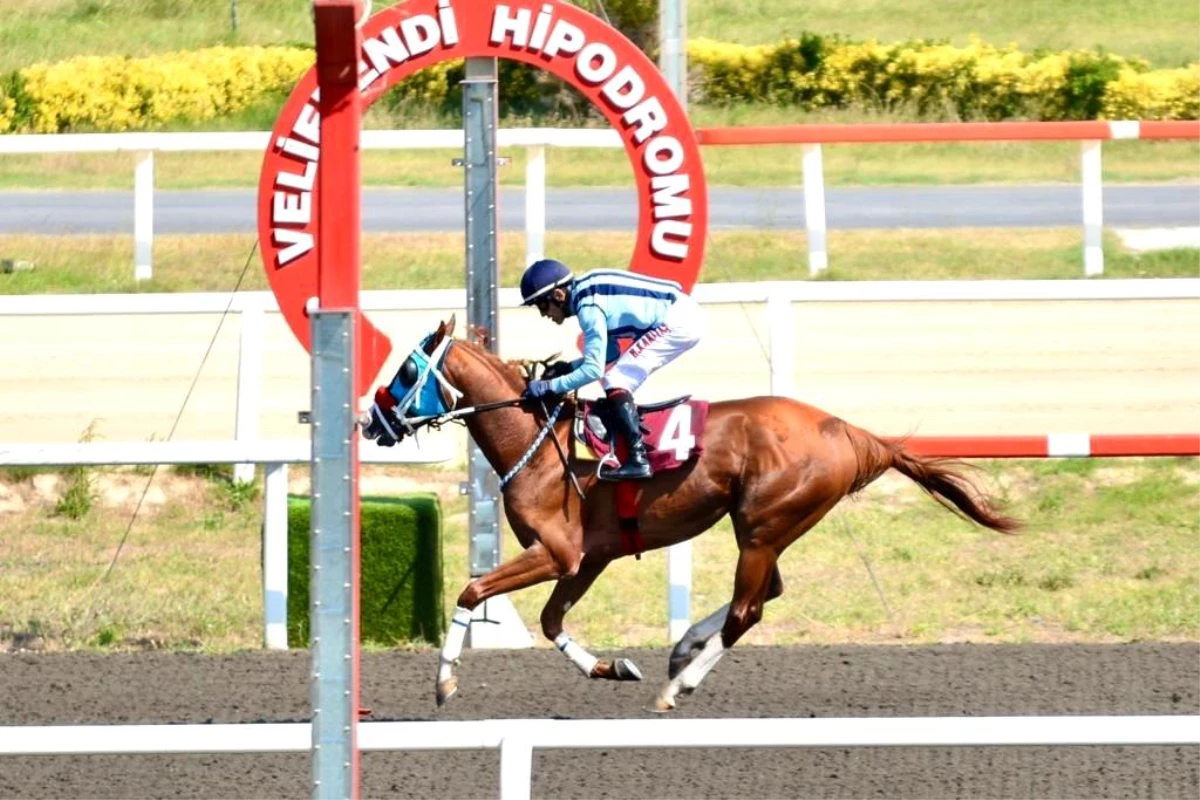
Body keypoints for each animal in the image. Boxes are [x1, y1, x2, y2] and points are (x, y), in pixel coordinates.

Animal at [364, 316, 1022, 710]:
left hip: (760, 527)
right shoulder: (588, 559)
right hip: (766, 528)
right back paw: (683, 648)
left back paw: (679, 682)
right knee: (764, 595)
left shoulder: (558, 552)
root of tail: (846, 430)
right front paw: (611, 667)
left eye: (406, 370)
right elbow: (551, 623)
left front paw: (444, 681)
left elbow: (473, 591)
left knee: (748, 609)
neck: (538, 443)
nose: (373, 421)